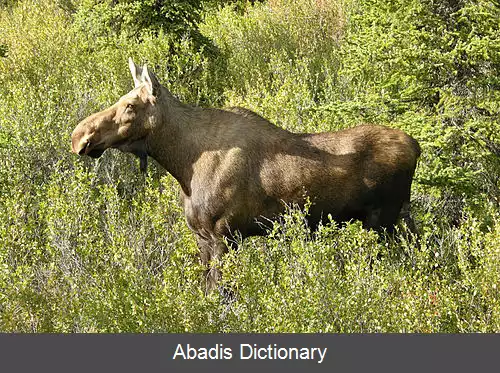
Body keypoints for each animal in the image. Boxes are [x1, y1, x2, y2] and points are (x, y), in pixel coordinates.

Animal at [71, 58, 422, 290]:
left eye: (130, 106)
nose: (79, 136)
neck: (183, 165)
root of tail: (417, 147)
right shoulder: (202, 236)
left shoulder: (224, 235)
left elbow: (221, 293)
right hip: (396, 218)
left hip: (383, 220)